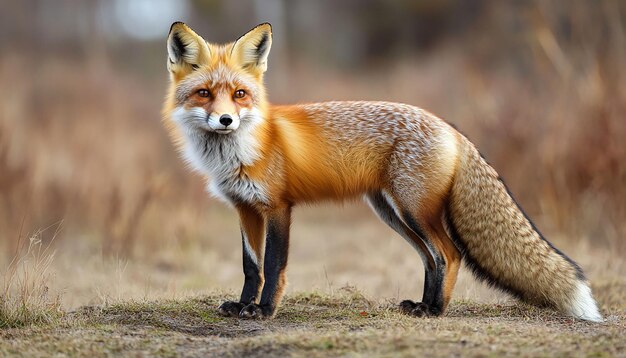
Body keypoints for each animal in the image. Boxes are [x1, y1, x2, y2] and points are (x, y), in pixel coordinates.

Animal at [163, 21, 604, 322]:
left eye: (240, 94)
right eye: (204, 93)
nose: (225, 120)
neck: (240, 149)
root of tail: (451, 129)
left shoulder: (278, 208)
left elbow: (273, 267)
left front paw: (264, 311)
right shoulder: (245, 209)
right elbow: (250, 266)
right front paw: (242, 305)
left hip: (412, 210)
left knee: (450, 254)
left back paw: (436, 311)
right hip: (392, 213)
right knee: (432, 258)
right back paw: (423, 304)